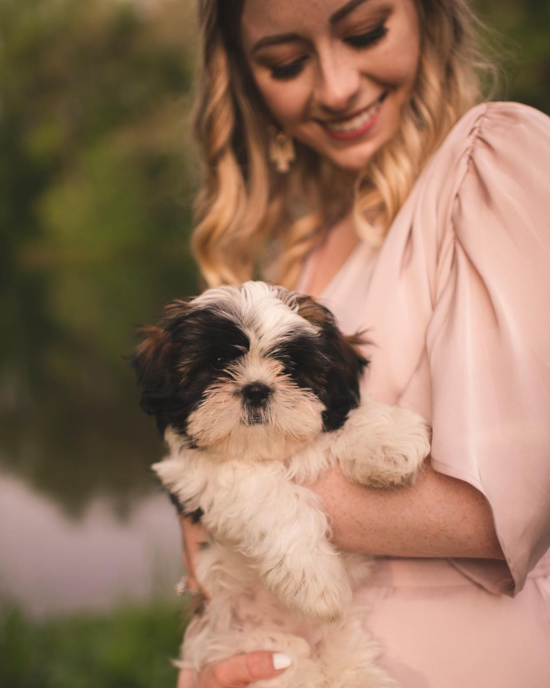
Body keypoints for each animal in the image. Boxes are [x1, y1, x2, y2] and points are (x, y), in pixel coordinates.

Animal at [133, 280, 432, 688]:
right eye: (218, 362)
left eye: (290, 367)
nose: (256, 389)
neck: (270, 451)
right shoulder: (197, 474)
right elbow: (271, 496)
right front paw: (315, 583)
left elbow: (349, 413)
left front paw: (389, 440)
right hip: (255, 650)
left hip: (343, 646)